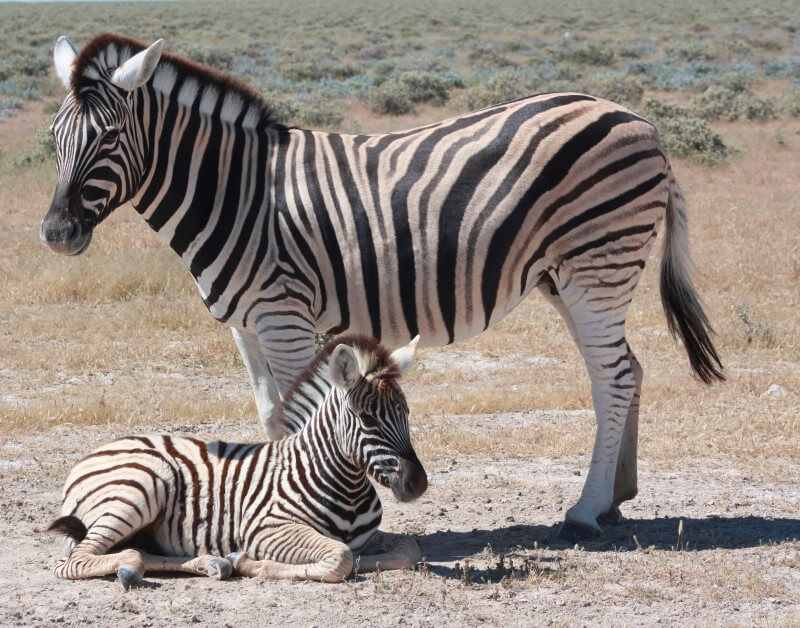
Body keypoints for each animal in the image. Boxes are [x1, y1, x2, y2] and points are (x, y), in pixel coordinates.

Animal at [40, 34, 720, 540]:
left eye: (107, 138)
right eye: (53, 139)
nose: (55, 233)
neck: (237, 191)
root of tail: (642, 121)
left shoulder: (284, 314)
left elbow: (297, 415)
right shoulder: (245, 323)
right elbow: (270, 416)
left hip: (597, 264)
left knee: (614, 378)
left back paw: (583, 511)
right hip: (569, 276)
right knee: (627, 368)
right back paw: (615, 498)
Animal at [47, 336, 428, 588]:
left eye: (408, 413)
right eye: (367, 419)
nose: (417, 484)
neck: (344, 484)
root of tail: (100, 449)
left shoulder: (372, 537)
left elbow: (408, 550)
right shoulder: (267, 528)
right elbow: (340, 557)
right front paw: (249, 562)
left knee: (135, 550)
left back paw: (211, 563)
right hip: (140, 487)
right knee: (77, 560)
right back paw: (133, 567)